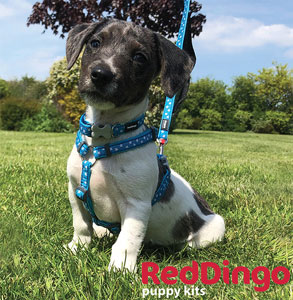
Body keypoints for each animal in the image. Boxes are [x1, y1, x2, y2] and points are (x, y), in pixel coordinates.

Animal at [65, 19, 224, 272]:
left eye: (139, 57)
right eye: (95, 43)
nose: (100, 74)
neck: (104, 137)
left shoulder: (137, 205)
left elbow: (128, 239)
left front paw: (120, 268)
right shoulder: (75, 190)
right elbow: (81, 224)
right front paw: (77, 248)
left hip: (216, 227)